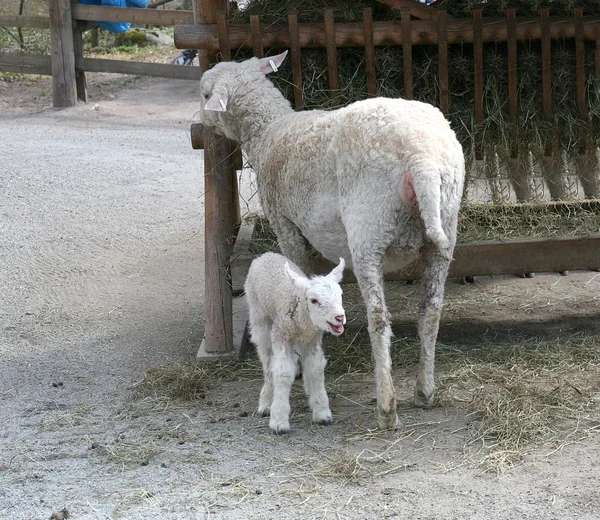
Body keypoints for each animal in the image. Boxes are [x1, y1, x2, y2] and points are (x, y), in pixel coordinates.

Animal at [244, 252, 346, 434]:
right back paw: (266, 402)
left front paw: (321, 412)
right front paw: (279, 421)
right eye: (313, 300)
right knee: (266, 361)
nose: (339, 318)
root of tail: (265, 255)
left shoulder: (313, 339)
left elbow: (316, 369)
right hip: (260, 318)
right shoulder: (281, 335)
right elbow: (283, 373)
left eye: (340, 295)